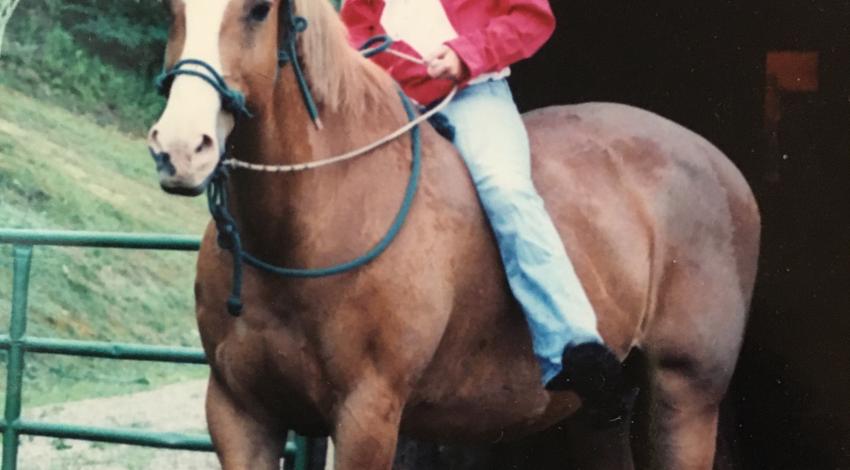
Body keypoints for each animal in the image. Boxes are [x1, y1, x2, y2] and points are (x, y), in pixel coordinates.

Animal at [147, 1, 760, 468]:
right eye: (174, 8)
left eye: (258, 10)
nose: (180, 148)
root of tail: (720, 166)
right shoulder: (239, 414)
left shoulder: (368, 415)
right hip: (600, 412)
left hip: (684, 396)